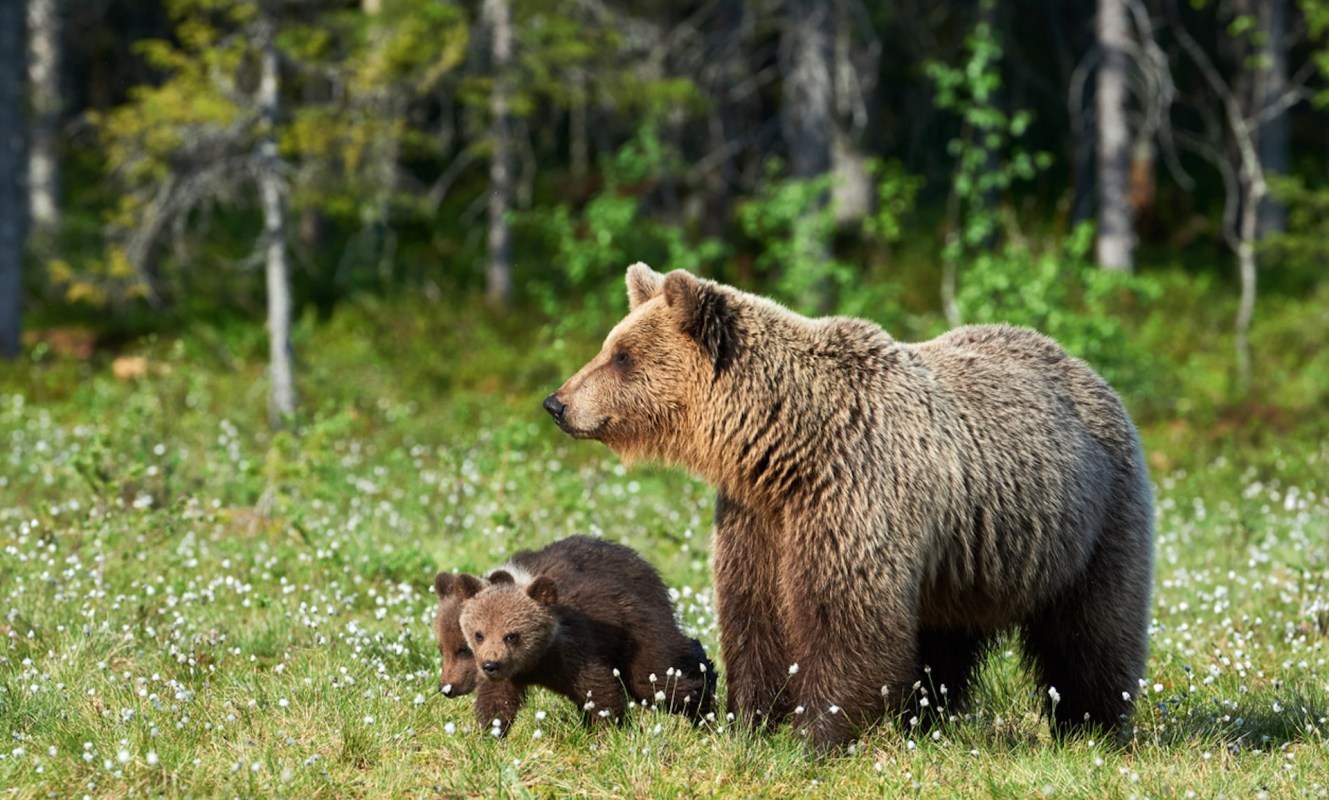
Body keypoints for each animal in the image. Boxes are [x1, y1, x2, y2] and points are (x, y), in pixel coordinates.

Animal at [544, 261, 1158, 749]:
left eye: (623, 355)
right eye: (610, 345)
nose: (557, 402)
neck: (786, 448)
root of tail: (1089, 372)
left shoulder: (855, 494)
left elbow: (847, 619)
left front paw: (815, 733)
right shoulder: (758, 517)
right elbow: (755, 615)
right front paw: (749, 721)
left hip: (1093, 519)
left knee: (1092, 633)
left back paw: (1091, 727)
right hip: (964, 561)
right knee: (945, 641)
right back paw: (925, 721)